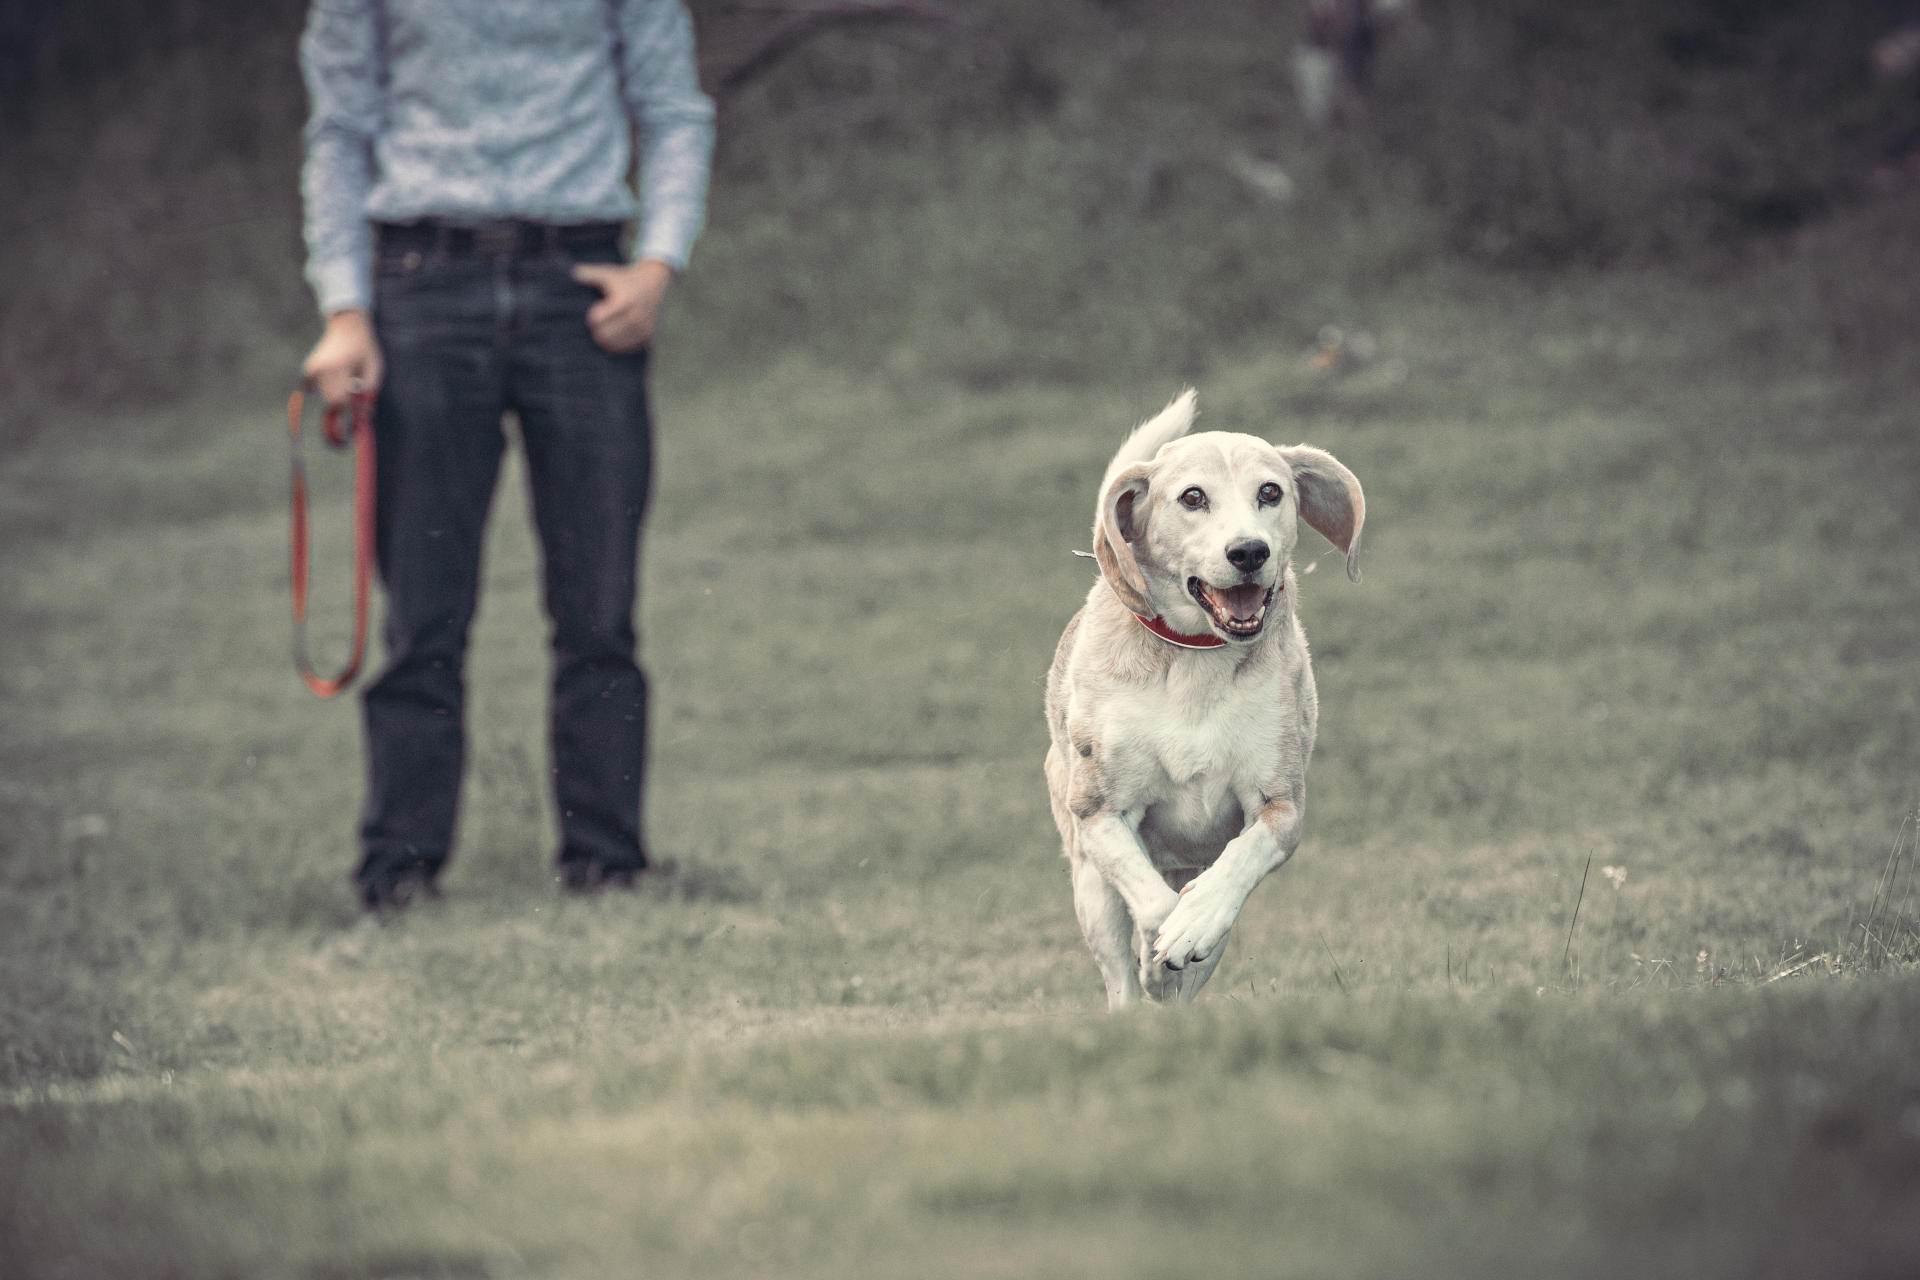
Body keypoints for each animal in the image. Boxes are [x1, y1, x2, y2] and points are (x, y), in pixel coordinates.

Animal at [1052, 391, 1367, 1013]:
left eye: (1270, 491)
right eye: (1192, 497)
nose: (1249, 550)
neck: (1196, 657)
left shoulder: (1280, 804)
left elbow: (1239, 865)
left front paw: (1192, 930)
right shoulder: (1098, 810)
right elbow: (1152, 906)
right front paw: (1160, 955)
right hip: (1090, 886)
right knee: (1119, 968)